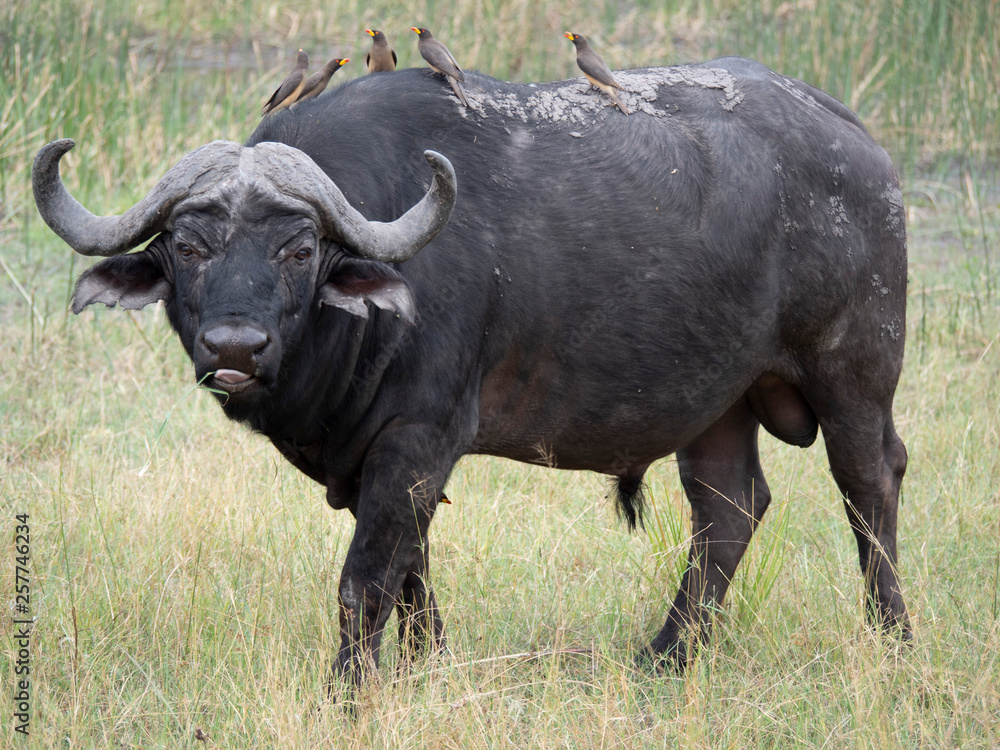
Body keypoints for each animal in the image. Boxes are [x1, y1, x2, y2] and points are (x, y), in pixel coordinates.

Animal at [33, 57, 911, 688]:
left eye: (300, 249)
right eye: (187, 246)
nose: (235, 348)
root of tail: (860, 146)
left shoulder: (418, 439)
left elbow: (366, 581)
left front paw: (350, 690)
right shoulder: (382, 459)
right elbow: (411, 570)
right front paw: (426, 665)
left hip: (855, 371)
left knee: (870, 484)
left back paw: (891, 635)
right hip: (717, 400)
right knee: (728, 507)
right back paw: (664, 655)